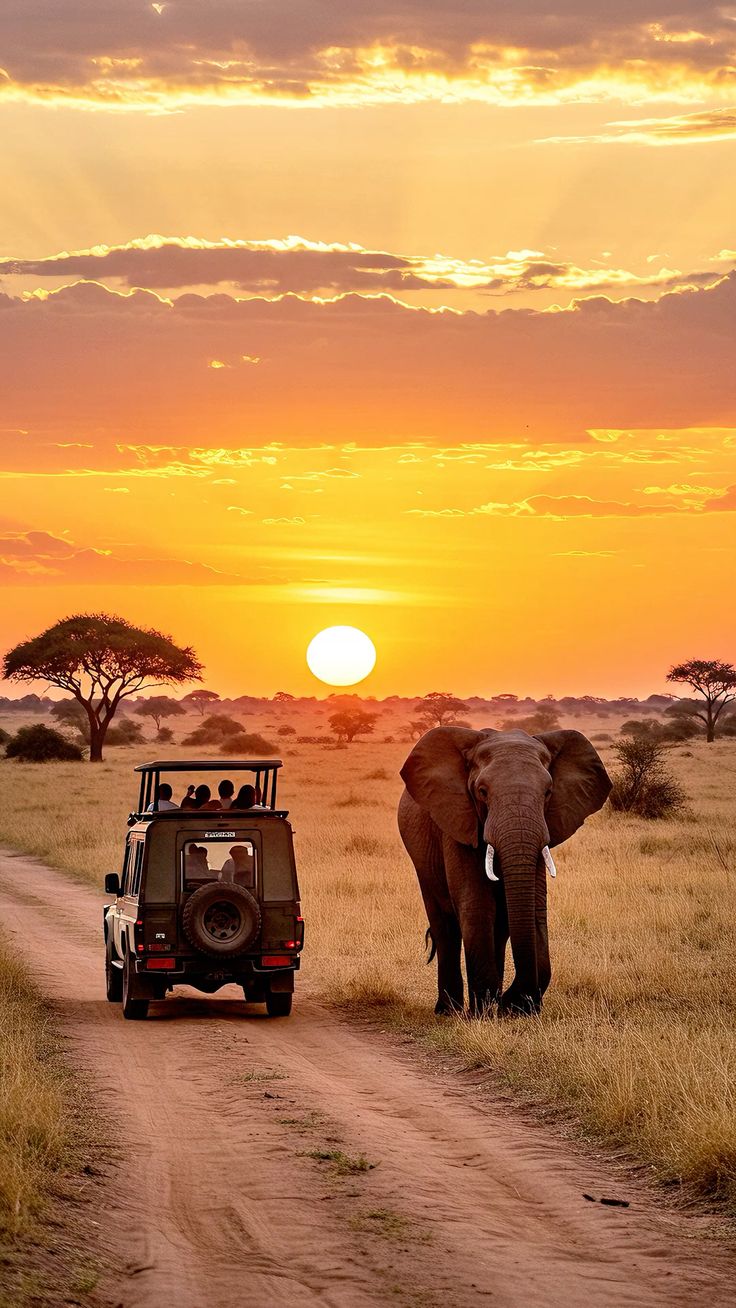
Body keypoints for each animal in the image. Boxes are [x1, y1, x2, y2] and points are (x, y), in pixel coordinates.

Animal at [398, 727, 611, 1016]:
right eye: (482, 791)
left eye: (548, 792)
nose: (514, 999)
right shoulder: (458, 823)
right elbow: (477, 905)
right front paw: (483, 1013)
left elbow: (534, 907)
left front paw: (511, 1008)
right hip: (422, 859)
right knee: (445, 926)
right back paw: (449, 1010)